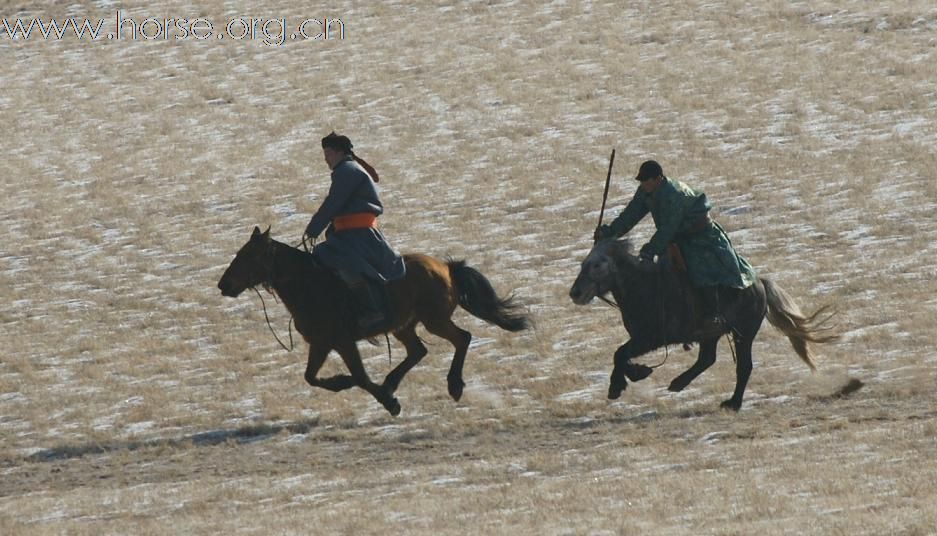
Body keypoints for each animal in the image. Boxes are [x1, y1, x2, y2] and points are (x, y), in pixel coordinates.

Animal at [215, 226, 532, 414]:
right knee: (419, 350)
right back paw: (393, 382)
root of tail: (446, 267)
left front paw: (388, 402)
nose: (223, 285)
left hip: (434, 320)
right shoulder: (321, 344)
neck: (311, 285)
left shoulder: (343, 342)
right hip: (405, 326)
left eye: (248, 256)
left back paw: (453, 385)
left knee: (462, 338)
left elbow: (360, 377)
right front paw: (346, 384)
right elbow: (311, 377)